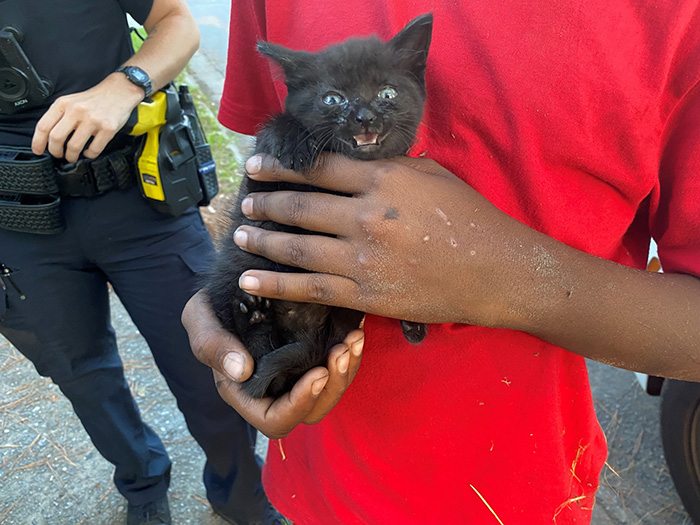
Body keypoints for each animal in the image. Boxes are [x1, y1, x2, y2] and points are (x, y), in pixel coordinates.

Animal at [205, 13, 432, 398]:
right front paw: (291, 137)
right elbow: (274, 135)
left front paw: (412, 312)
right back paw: (251, 314)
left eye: (387, 93)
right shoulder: (256, 193)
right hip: (227, 274)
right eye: (332, 99)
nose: (364, 116)